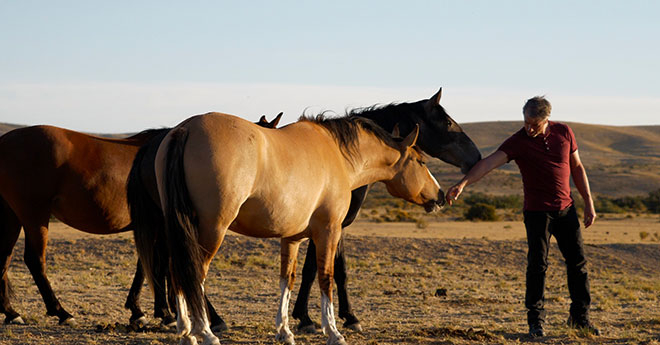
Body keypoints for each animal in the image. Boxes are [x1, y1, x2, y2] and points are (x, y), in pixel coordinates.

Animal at [0, 112, 282, 326]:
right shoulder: (166, 224)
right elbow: (164, 265)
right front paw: (168, 311)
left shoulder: (152, 226)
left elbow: (146, 266)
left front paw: (143, 311)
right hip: (34, 215)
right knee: (34, 260)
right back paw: (61, 312)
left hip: (13, 218)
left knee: (5, 258)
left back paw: (11, 313)